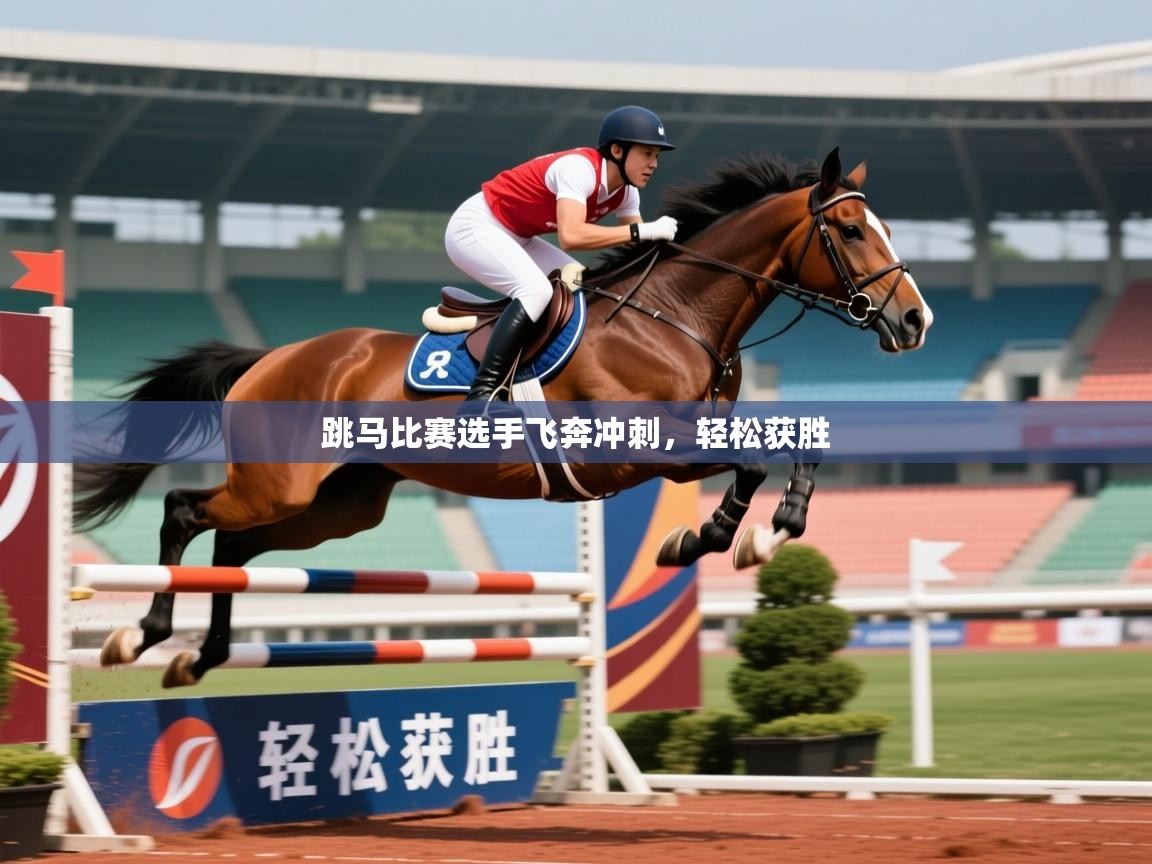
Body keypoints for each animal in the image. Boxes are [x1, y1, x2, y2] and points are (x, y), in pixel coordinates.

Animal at [74, 147, 933, 687]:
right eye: (849, 230)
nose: (916, 322)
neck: (677, 315)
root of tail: (270, 356)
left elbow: (789, 453)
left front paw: (772, 529)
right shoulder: (637, 450)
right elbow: (749, 465)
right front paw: (707, 537)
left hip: (337, 506)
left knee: (235, 548)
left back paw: (201, 657)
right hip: (280, 485)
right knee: (186, 512)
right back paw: (141, 635)